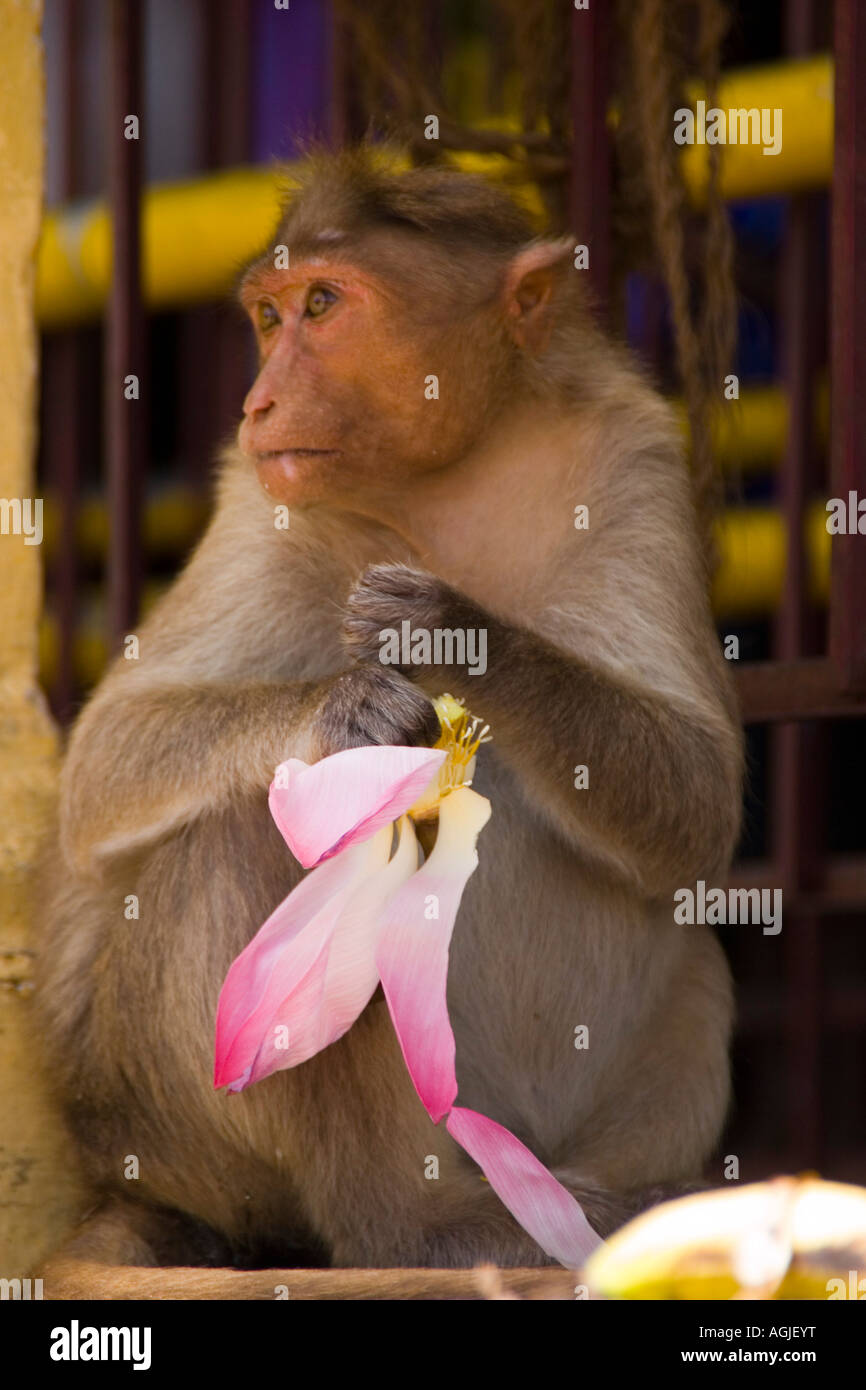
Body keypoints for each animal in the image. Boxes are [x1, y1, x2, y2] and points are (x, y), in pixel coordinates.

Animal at [32, 146, 739, 1284]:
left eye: (322, 305)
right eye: (268, 315)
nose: (257, 402)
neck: (449, 475)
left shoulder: (634, 453)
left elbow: (697, 798)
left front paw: (460, 633)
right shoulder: (264, 499)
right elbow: (107, 762)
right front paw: (350, 706)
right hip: (165, 1126)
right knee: (254, 834)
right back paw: (415, 1225)